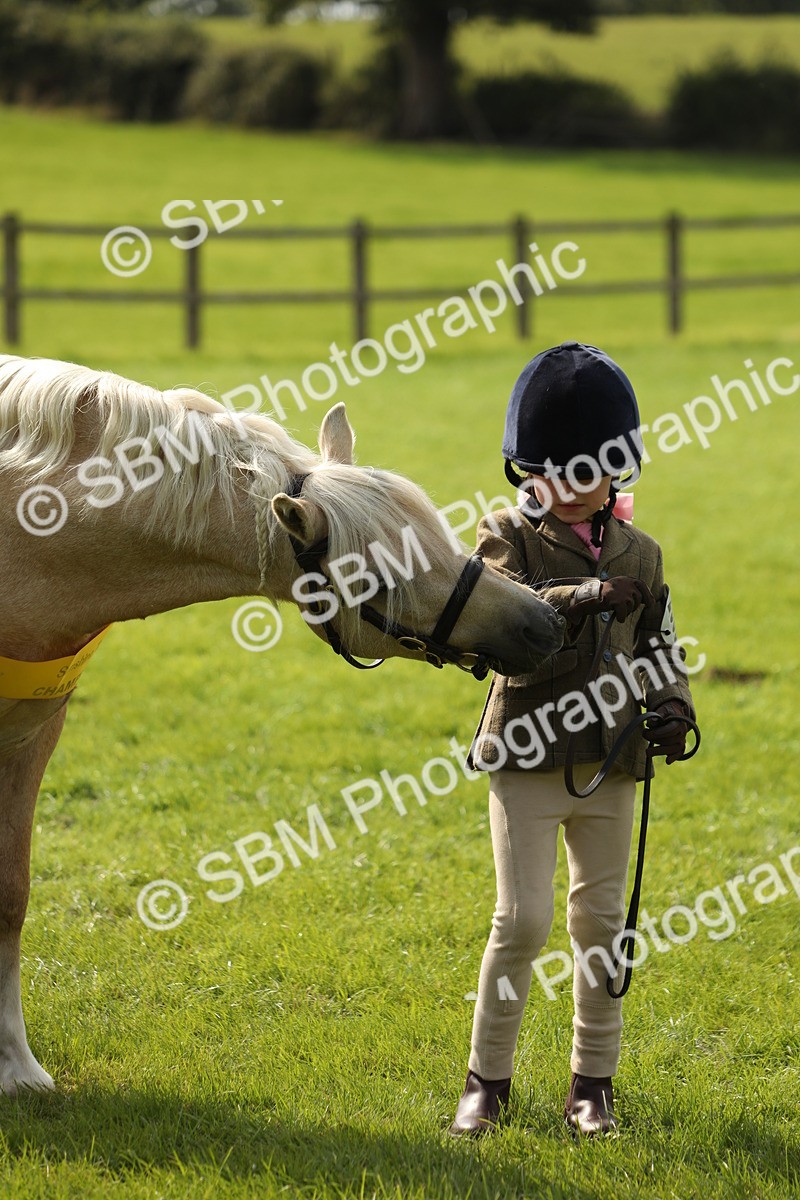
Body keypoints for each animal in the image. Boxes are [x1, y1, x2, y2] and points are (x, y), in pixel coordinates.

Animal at [0, 353, 564, 1095]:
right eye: (386, 575)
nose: (542, 622)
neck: (30, 540)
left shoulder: (34, 730)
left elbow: (11, 893)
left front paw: (15, 1066)